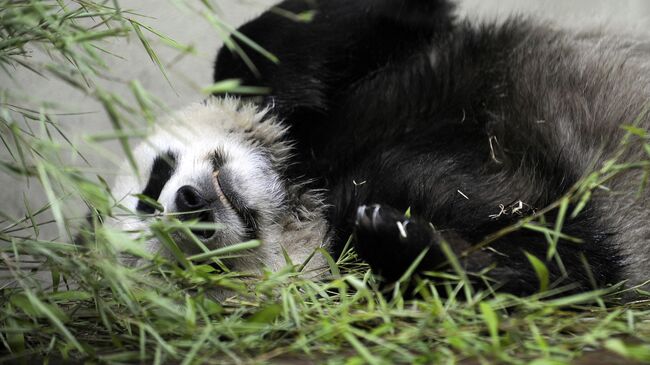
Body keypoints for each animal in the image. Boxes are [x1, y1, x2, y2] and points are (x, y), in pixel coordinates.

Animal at [107, 0, 648, 296]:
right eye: (191, 267)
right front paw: (401, 237)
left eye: (155, 181)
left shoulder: (368, 76)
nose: (189, 203)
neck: (303, 191)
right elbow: (565, 266)